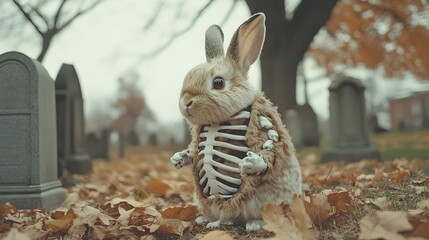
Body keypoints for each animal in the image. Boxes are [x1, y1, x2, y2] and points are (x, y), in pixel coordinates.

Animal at [171, 12, 300, 231]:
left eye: (218, 83)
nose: (186, 102)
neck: (217, 122)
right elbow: (193, 152)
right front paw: (178, 158)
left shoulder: (267, 124)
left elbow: (272, 152)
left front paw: (252, 162)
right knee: (225, 215)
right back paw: (208, 220)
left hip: (267, 199)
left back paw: (253, 224)